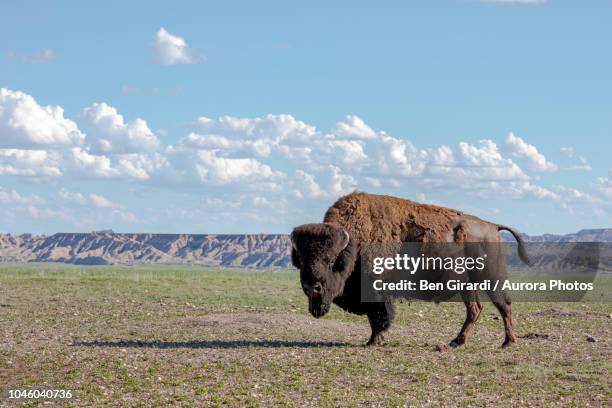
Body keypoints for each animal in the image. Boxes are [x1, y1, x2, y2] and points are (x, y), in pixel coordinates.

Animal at [292, 192, 532, 348]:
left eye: (331, 259)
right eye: (301, 259)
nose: (312, 287)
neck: (354, 243)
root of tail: (492, 226)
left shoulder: (376, 291)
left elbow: (379, 315)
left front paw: (373, 341)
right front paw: (374, 340)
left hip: (490, 278)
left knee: (503, 305)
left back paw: (507, 342)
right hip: (467, 284)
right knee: (475, 309)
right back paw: (457, 342)